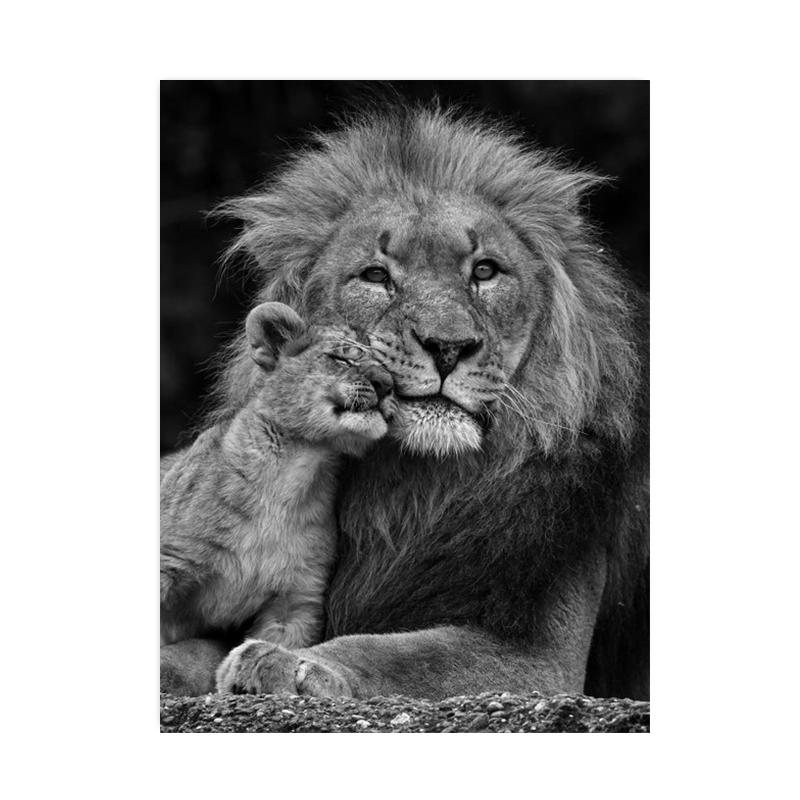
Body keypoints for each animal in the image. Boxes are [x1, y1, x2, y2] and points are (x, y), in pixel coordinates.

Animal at [161, 105, 649, 701]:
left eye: (485, 270)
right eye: (376, 275)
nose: (448, 347)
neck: (411, 490)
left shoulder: (543, 660)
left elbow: (399, 652)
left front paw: (289, 662)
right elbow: (197, 646)